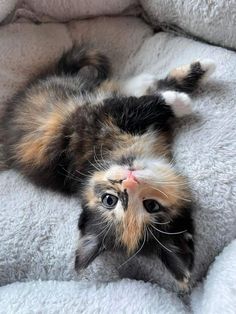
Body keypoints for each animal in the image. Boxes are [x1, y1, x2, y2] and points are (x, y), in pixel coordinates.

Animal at [0, 45, 215, 288]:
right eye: (110, 200)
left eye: (151, 205)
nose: (127, 180)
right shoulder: (97, 121)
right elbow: (137, 106)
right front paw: (181, 100)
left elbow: (147, 96)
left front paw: (200, 71)